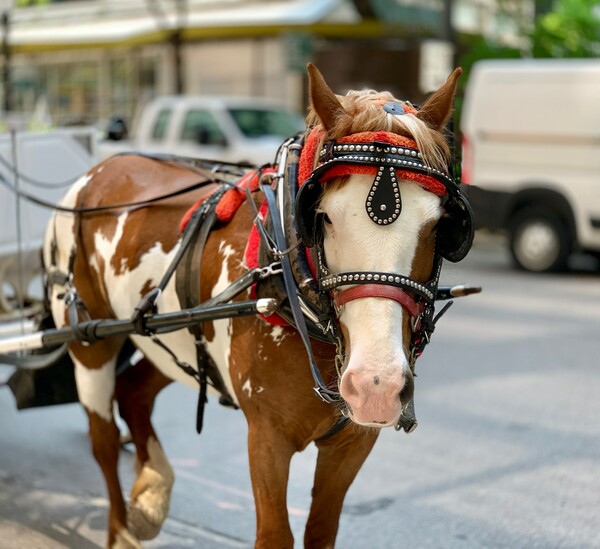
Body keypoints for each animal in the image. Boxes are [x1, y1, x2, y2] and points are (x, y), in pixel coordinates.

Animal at [42, 62, 474, 544]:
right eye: (324, 216)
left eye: (439, 226)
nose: (375, 384)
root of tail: (101, 168)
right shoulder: (267, 437)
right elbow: (275, 536)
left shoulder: (353, 443)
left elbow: (321, 532)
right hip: (90, 344)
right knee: (101, 437)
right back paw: (119, 530)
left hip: (170, 340)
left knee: (133, 392)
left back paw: (152, 491)